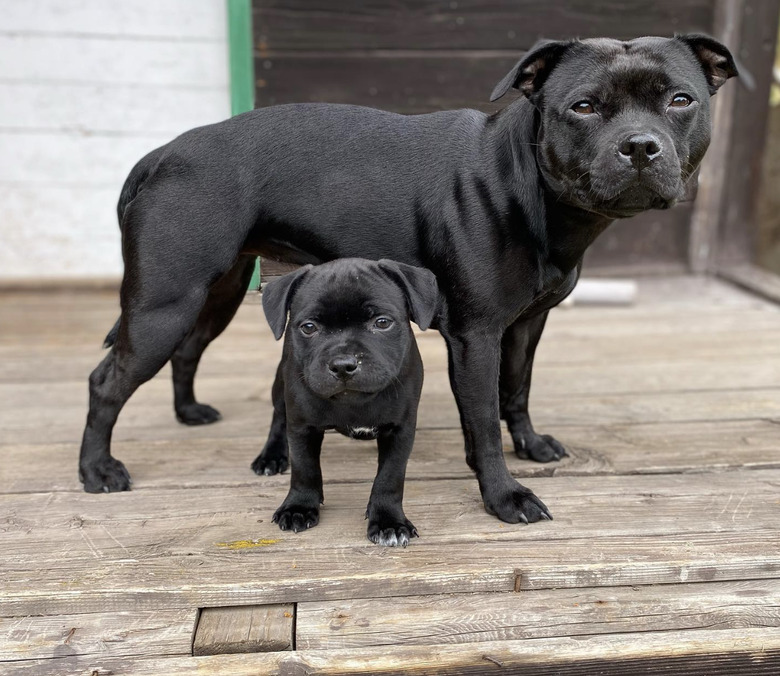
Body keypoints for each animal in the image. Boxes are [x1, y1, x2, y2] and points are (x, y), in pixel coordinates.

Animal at [256, 256, 438, 548]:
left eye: (382, 322)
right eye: (309, 327)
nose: (343, 364)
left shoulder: (401, 429)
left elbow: (390, 476)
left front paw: (388, 522)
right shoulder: (301, 426)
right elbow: (304, 467)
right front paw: (299, 507)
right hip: (280, 387)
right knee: (278, 417)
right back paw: (270, 457)